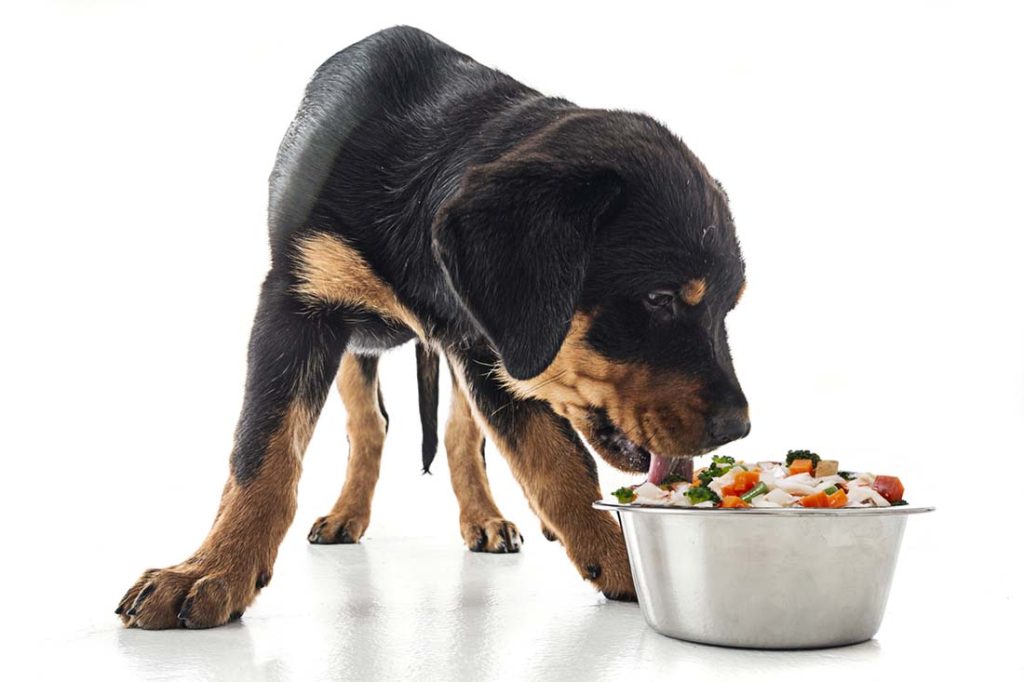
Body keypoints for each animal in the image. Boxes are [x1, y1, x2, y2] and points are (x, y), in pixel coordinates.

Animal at [114, 26, 753, 626]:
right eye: (658, 298)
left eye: (727, 309)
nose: (738, 428)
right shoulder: (295, 305)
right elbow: (262, 449)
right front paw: (211, 570)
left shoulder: (487, 341)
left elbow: (553, 457)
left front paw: (622, 562)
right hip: (358, 342)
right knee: (369, 423)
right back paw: (347, 515)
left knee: (457, 432)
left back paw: (485, 519)